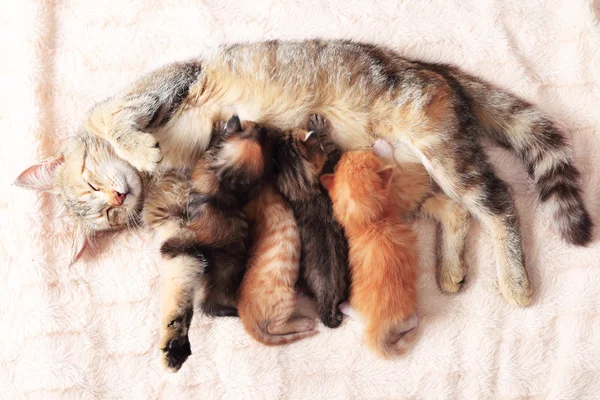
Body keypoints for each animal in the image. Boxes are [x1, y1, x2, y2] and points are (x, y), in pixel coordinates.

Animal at [16, 39, 592, 306]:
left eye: (91, 184)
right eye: (104, 220)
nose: (116, 199)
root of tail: (432, 69)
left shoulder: (170, 81)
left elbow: (118, 118)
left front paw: (140, 147)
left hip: (443, 151)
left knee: (500, 203)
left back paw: (515, 280)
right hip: (407, 175)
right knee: (458, 211)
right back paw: (450, 269)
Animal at [274, 115, 352, 328]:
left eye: (286, 135)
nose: (278, 131)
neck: (305, 191)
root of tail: (327, 299)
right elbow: (332, 150)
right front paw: (319, 128)